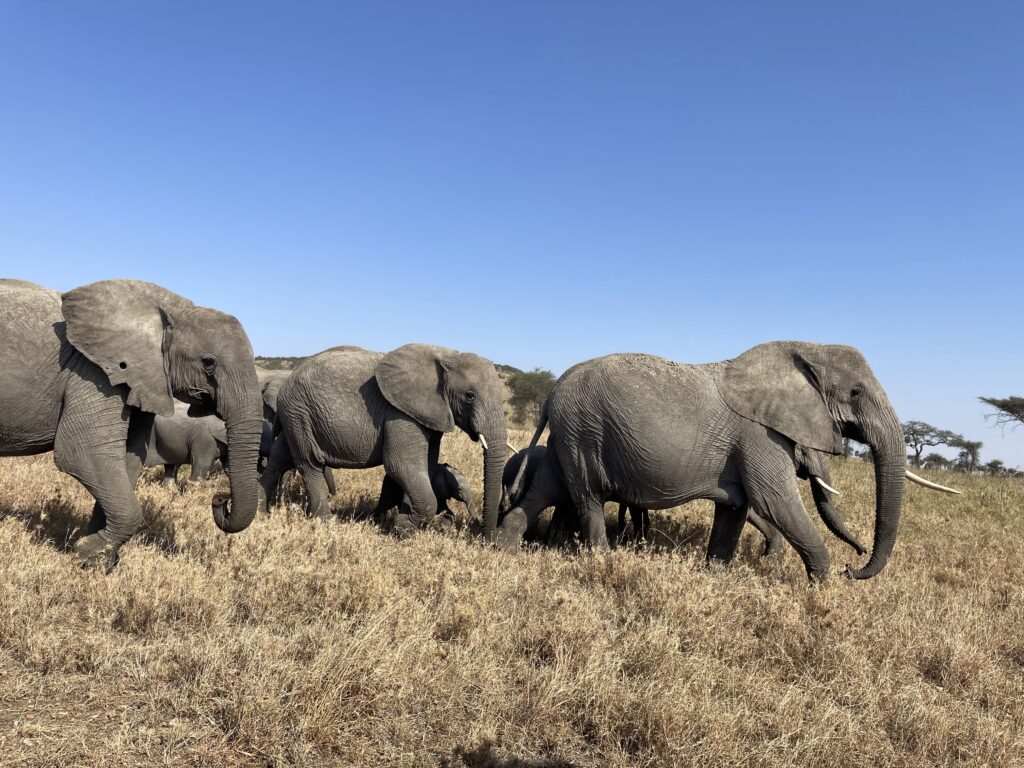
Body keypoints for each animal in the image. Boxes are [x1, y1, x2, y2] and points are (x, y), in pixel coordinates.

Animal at [0, 279, 263, 570]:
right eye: (208, 363)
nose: (220, 498)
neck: (172, 309)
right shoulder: (93, 372)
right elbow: (82, 453)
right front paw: (86, 552)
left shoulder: (138, 380)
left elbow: (129, 458)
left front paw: (101, 560)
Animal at [261, 344, 508, 536]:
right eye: (470, 396)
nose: (487, 537)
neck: (447, 355)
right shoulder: (400, 413)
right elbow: (401, 465)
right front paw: (402, 527)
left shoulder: (430, 416)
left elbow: (425, 467)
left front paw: (403, 519)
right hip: (299, 412)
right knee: (310, 463)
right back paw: (325, 524)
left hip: (295, 416)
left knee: (280, 457)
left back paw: (261, 512)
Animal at [495, 342, 960, 580]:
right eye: (856, 393)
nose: (854, 564)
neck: (802, 350)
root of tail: (554, 389)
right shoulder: (761, 437)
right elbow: (776, 502)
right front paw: (821, 589)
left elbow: (736, 510)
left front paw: (716, 576)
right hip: (584, 431)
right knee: (588, 499)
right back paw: (604, 563)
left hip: (569, 436)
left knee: (547, 489)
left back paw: (504, 548)